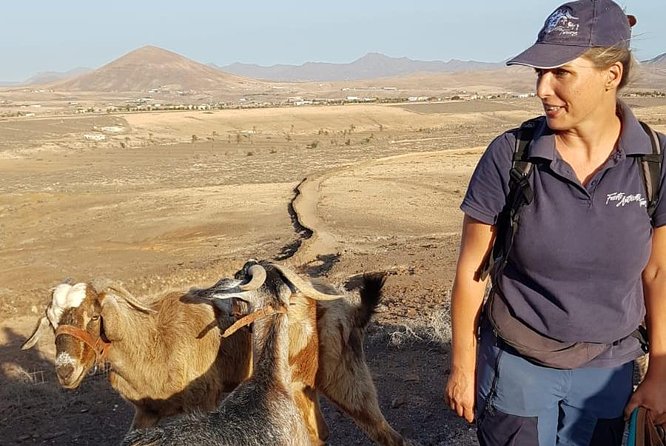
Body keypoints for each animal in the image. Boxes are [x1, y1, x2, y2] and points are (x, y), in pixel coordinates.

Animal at [23, 263, 408, 445]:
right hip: (302, 387)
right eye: (51, 320)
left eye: (93, 315)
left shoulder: (204, 400)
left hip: (345, 376)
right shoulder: (146, 413)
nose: (65, 370)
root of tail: (341, 300)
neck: (153, 340)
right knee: (319, 434)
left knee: (385, 432)